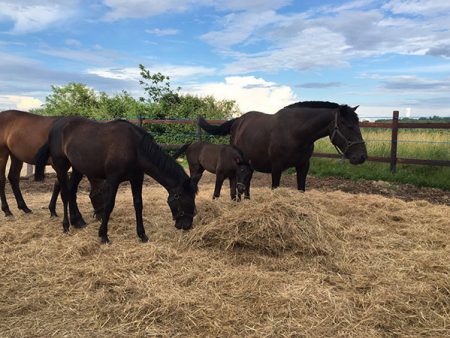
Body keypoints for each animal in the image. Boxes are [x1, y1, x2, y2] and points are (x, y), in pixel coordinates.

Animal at [33, 116, 199, 243]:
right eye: (185, 199)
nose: (186, 225)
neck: (134, 147)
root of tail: (56, 126)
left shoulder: (137, 178)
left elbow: (138, 204)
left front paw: (142, 235)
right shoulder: (113, 180)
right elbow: (109, 205)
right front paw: (103, 235)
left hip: (77, 169)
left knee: (72, 192)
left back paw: (78, 222)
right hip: (61, 166)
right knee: (65, 194)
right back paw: (66, 226)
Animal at [199, 100, 368, 191]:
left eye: (358, 124)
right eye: (347, 125)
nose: (362, 156)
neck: (295, 132)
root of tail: (237, 121)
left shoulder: (303, 166)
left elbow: (301, 189)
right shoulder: (276, 168)